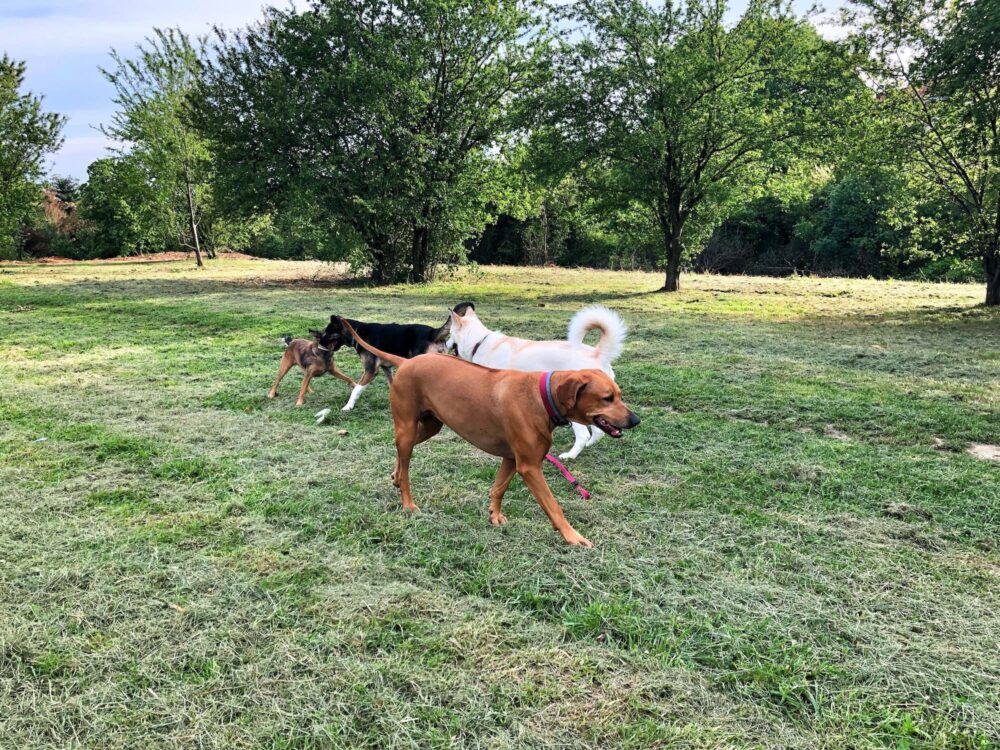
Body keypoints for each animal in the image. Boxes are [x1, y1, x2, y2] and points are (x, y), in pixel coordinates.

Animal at [320, 314, 450, 414]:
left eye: (326, 333)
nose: (319, 344)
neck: (357, 332)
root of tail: (433, 332)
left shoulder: (371, 370)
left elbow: (356, 389)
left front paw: (348, 407)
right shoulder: (386, 368)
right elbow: (393, 386)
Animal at [344, 320, 640, 548]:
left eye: (619, 395)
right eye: (607, 398)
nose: (635, 420)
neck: (542, 397)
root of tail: (406, 362)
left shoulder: (511, 458)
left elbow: (498, 488)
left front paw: (494, 516)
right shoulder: (529, 466)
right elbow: (553, 505)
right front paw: (573, 537)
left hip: (430, 426)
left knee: (400, 452)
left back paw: (395, 476)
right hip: (407, 425)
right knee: (406, 466)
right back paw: (407, 502)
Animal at [446, 302, 624, 462]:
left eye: (449, 334)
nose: (445, 344)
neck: (480, 342)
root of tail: (597, 353)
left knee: (584, 435)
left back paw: (570, 455)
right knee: (597, 430)